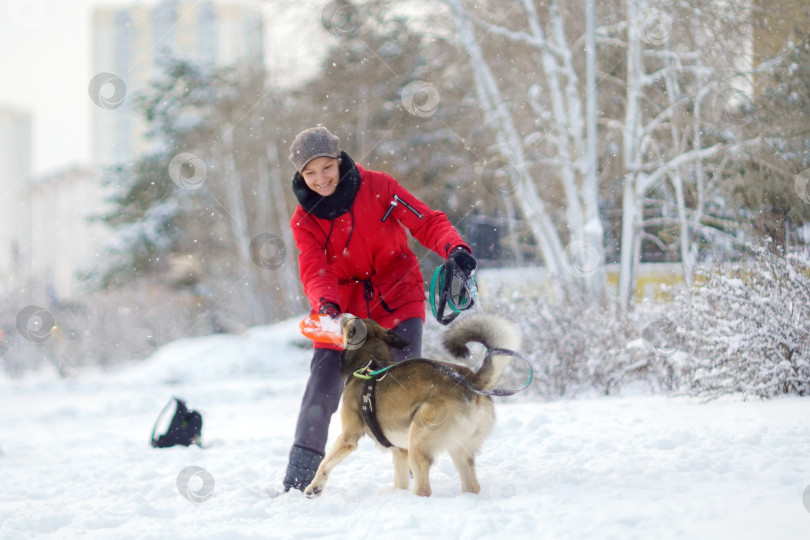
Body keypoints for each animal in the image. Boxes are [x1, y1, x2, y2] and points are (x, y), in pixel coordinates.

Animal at [302, 312, 516, 498]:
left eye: (351, 321)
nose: (343, 314)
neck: (368, 362)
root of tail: (472, 381)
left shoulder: (349, 437)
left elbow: (324, 464)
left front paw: (314, 488)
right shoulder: (399, 451)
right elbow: (400, 481)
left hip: (419, 442)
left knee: (424, 489)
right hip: (458, 448)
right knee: (472, 486)